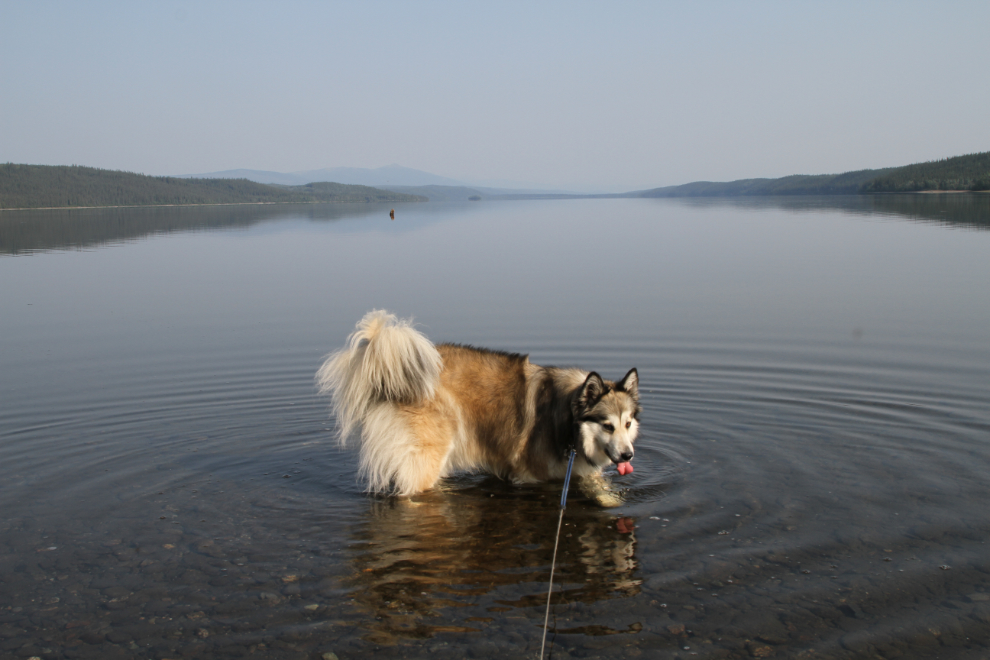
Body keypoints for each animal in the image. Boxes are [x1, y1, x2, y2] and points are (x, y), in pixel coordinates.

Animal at [318, 310, 644, 506]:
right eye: (607, 425)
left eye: (628, 423)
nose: (628, 455)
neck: (566, 421)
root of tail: (389, 377)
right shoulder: (529, 475)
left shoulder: (577, 472)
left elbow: (601, 488)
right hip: (429, 453)